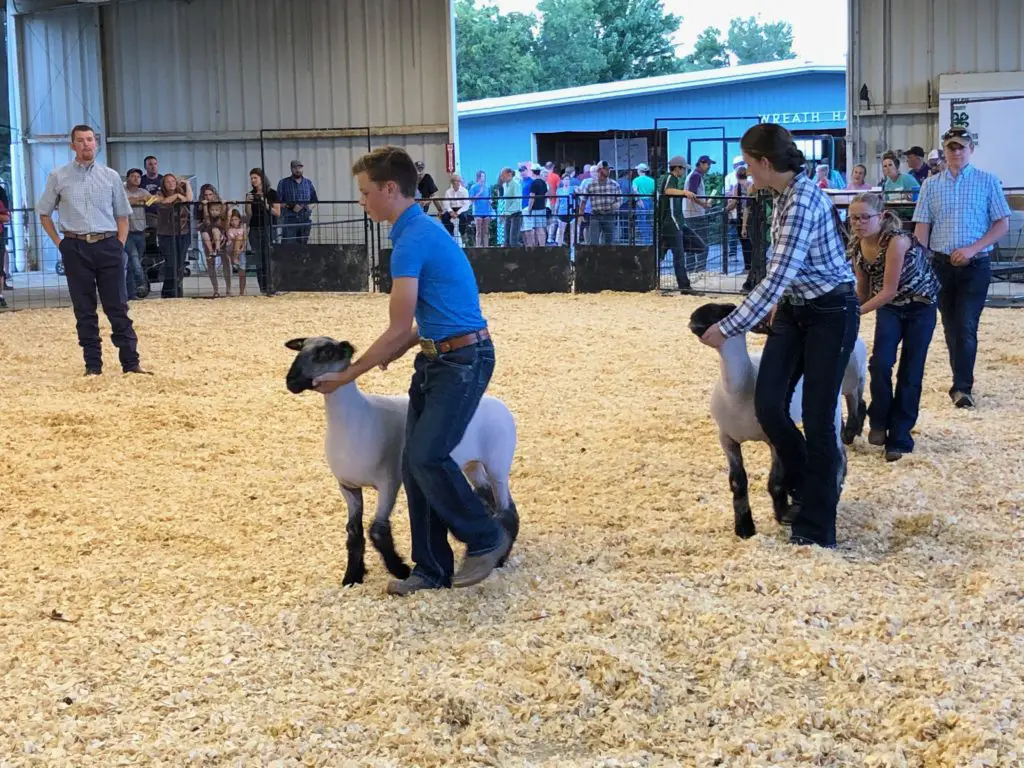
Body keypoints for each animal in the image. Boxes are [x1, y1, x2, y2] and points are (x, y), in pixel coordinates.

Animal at [284, 333, 520, 585]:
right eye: (301, 349)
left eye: (326, 353)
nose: (290, 381)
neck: (355, 418)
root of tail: (501, 405)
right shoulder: (348, 487)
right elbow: (353, 531)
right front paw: (352, 576)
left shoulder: (388, 482)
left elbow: (377, 530)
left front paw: (400, 569)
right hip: (473, 465)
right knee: (487, 497)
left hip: (498, 463)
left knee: (506, 511)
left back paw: (501, 558)